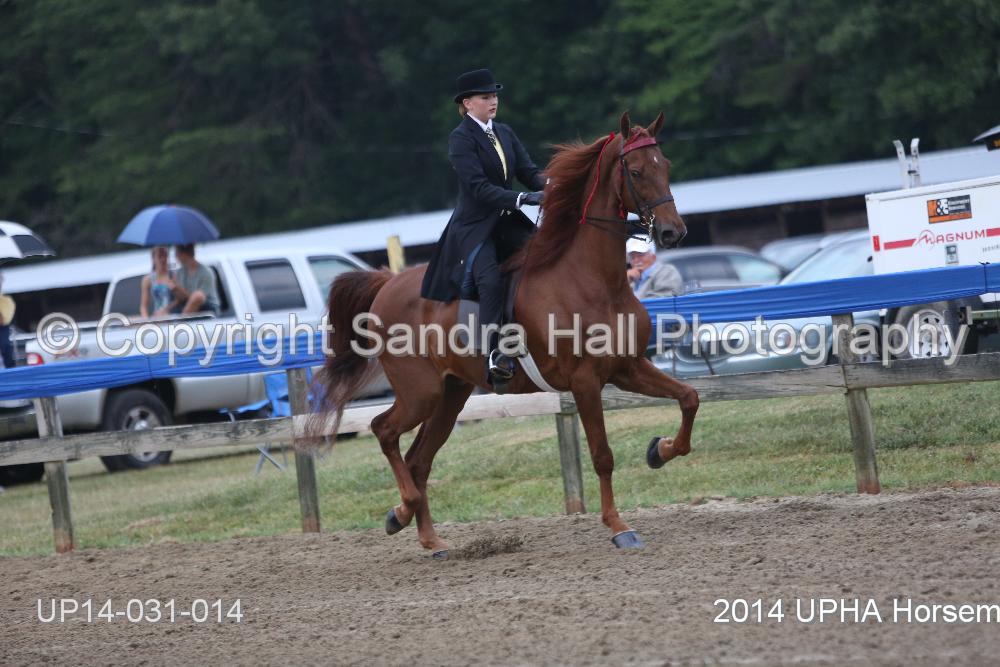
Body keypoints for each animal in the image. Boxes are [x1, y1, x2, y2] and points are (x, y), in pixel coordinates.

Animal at [311, 112, 699, 557]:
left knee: (418, 460)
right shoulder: (586, 381)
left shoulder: (629, 367)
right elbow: (603, 455)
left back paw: (431, 539)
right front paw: (619, 527)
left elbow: (689, 398)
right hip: (420, 392)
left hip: (451, 394)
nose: (673, 233)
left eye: (664, 165)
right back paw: (401, 512)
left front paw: (660, 450)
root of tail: (386, 284)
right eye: (636, 171)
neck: (596, 280)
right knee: (384, 431)